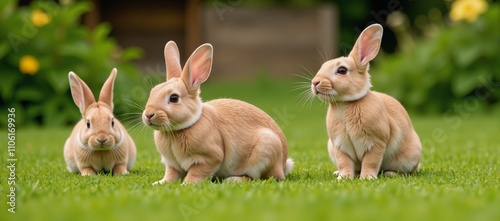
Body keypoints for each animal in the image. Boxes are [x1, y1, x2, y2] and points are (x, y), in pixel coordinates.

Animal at [143, 40, 294, 184]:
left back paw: (233, 180)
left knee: (261, 178)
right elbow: (171, 175)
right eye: (152, 92)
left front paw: (187, 184)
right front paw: (160, 183)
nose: (148, 114)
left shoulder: (208, 158)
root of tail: (282, 165)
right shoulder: (172, 164)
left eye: (174, 98)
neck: (179, 129)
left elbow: (196, 173)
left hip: (266, 149)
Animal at [312, 24, 422, 180]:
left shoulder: (376, 143)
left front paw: (367, 178)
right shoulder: (339, 146)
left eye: (342, 70)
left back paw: (390, 174)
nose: (315, 82)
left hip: (408, 158)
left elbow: (371, 161)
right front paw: (343, 177)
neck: (345, 103)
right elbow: (344, 163)